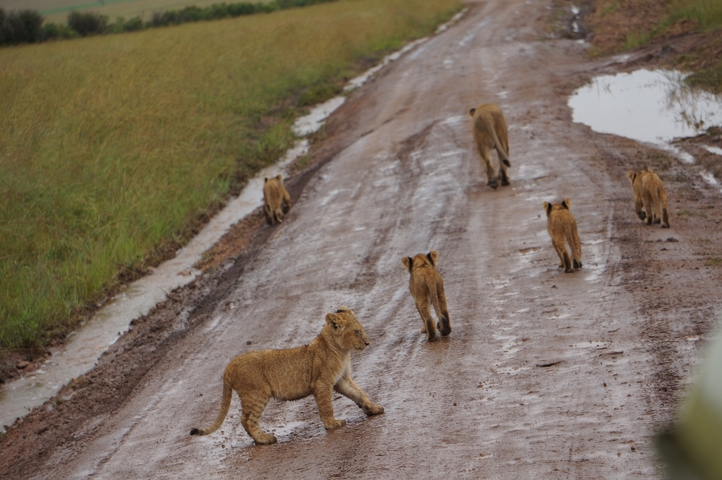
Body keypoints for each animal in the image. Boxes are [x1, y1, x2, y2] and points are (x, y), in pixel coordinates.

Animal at [189, 307, 384, 445]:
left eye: (361, 329)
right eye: (357, 331)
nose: (368, 343)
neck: (342, 351)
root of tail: (229, 366)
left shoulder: (342, 380)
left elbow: (359, 394)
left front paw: (373, 409)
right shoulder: (322, 383)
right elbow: (327, 406)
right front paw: (332, 424)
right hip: (257, 393)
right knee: (246, 420)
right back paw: (265, 439)